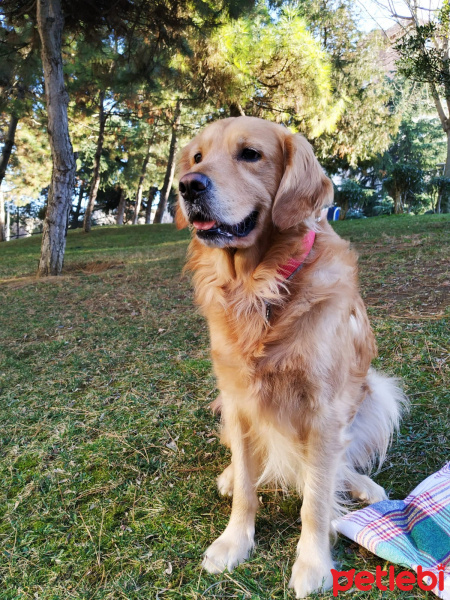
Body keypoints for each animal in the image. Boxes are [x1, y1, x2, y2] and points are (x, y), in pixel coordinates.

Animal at [174, 115, 406, 596]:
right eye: (197, 157)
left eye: (250, 154)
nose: (187, 186)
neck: (259, 289)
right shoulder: (238, 401)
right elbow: (248, 486)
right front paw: (234, 541)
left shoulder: (326, 411)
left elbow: (316, 499)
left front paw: (312, 564)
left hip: (377, 392)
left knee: (339, 463)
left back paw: (362, 485)